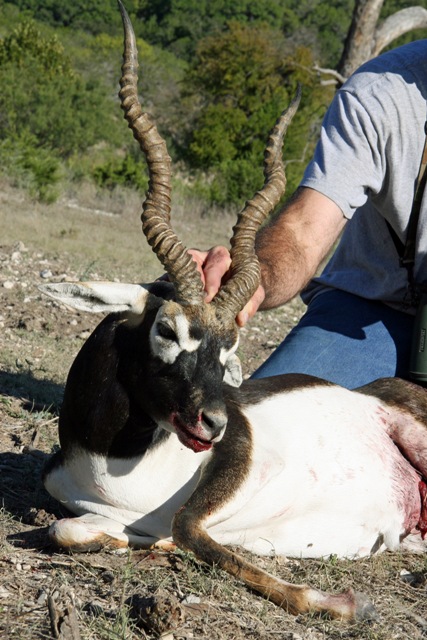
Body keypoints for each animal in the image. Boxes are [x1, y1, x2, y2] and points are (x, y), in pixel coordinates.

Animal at [40, 0, 427, 620]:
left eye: (229, 351)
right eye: (167, 329)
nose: (214, 422)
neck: (114, 466)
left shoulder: (239, 455)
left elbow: (188, 527)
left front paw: (338, 603)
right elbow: (73, 530)